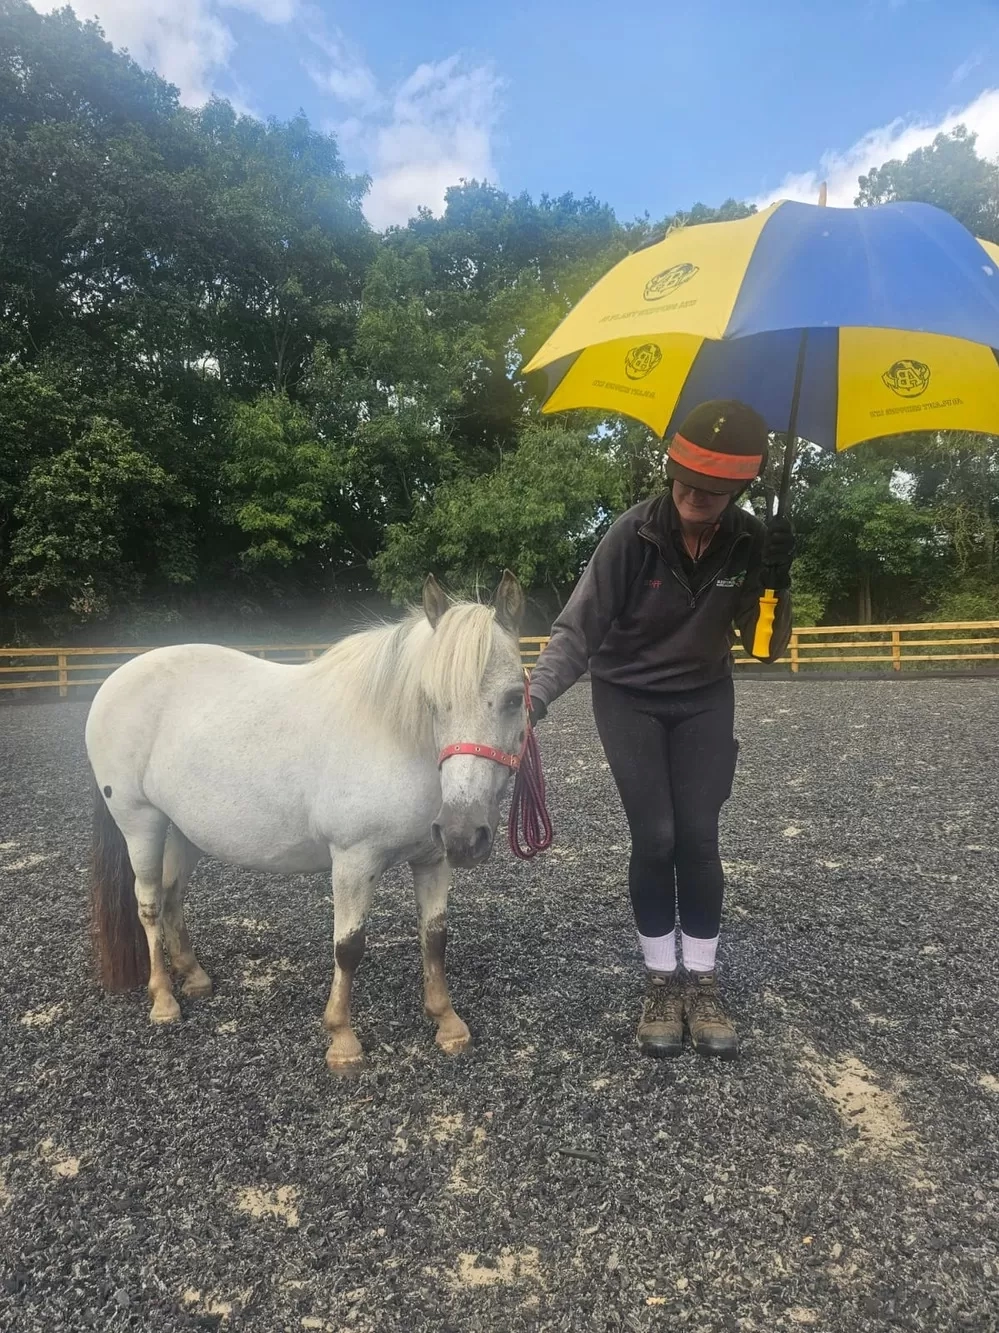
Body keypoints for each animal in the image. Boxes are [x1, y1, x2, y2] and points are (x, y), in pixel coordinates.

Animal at [86, 573, 525, 1071]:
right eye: (433, 702)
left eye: (515, 698)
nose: (465, 834)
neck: (396, 735)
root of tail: (115, 680)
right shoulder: (354, 860)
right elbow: (348, 947)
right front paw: (342, 1041)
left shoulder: (434, 859)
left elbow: (434, 938)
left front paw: (448, 1024)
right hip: (141, 824)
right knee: (148, 903)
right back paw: (163, 999)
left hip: (185, 830)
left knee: (172, 894)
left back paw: (194, 977)